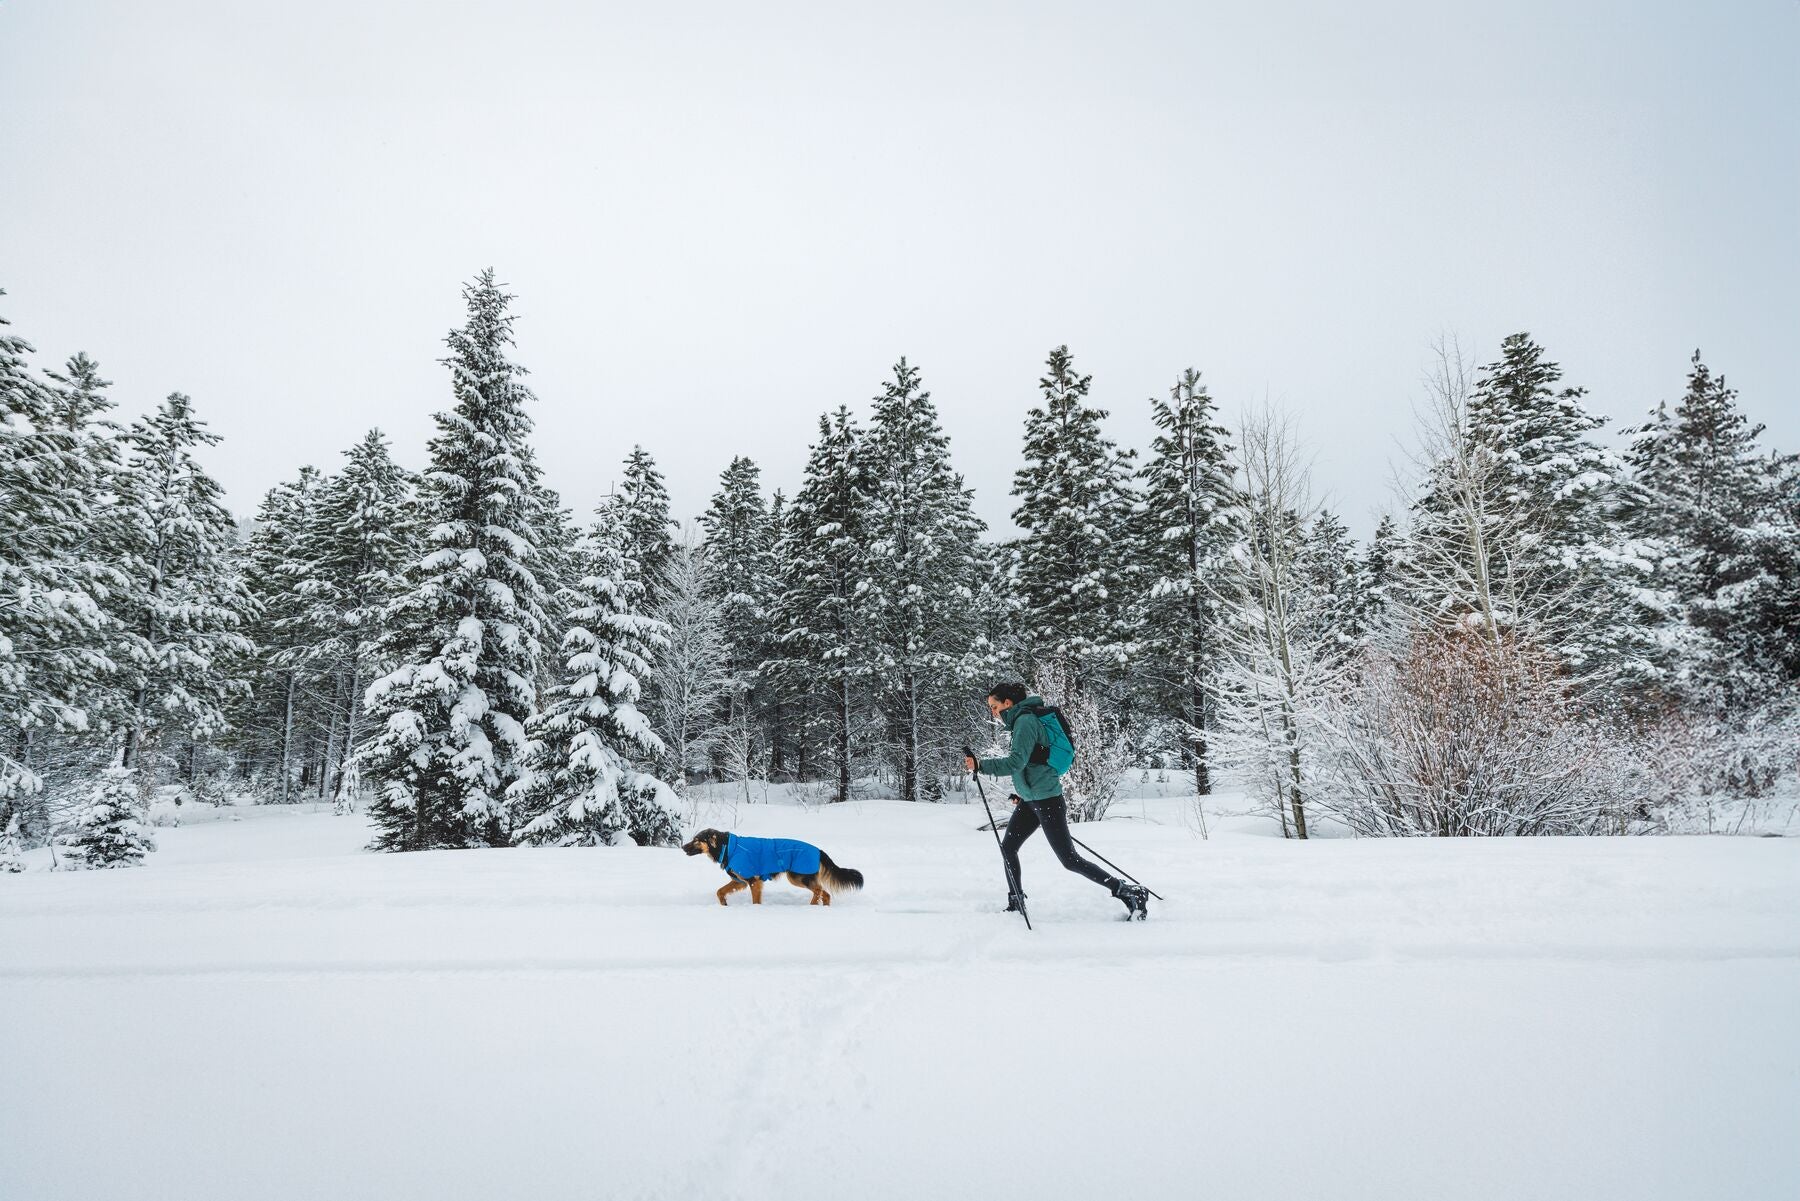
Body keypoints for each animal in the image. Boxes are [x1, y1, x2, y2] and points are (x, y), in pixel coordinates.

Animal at [680, 831, 864, 907]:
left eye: (696, 840)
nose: (682, 847)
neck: (728, 847)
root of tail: (818, 850)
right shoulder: (739, 881)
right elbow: (720, 891)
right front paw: (724, 904)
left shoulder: (753, 881)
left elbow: (755, 900)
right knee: (825, 894)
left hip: (798, 876)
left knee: (820, 891)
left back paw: (811, 907)